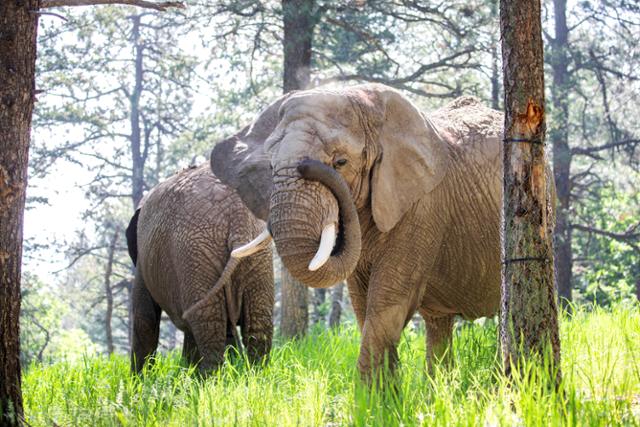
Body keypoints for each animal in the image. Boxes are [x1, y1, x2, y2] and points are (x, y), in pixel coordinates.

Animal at [126, 164, 274, 374]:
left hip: (194, 253)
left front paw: (139, 380)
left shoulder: (143, 260)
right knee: (257, 323)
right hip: (256, 256)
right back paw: (254, 375)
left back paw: (208, 379)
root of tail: (237, 215)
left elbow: (144, 318)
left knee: (208, 323)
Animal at [210, 84, 556, 382]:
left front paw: (372, 403)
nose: (309, 165)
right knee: (438, 324)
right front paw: (384, 398)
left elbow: (388, 299)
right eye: (270, 168)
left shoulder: (422, 206)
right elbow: (363, 304)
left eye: (341, 161)